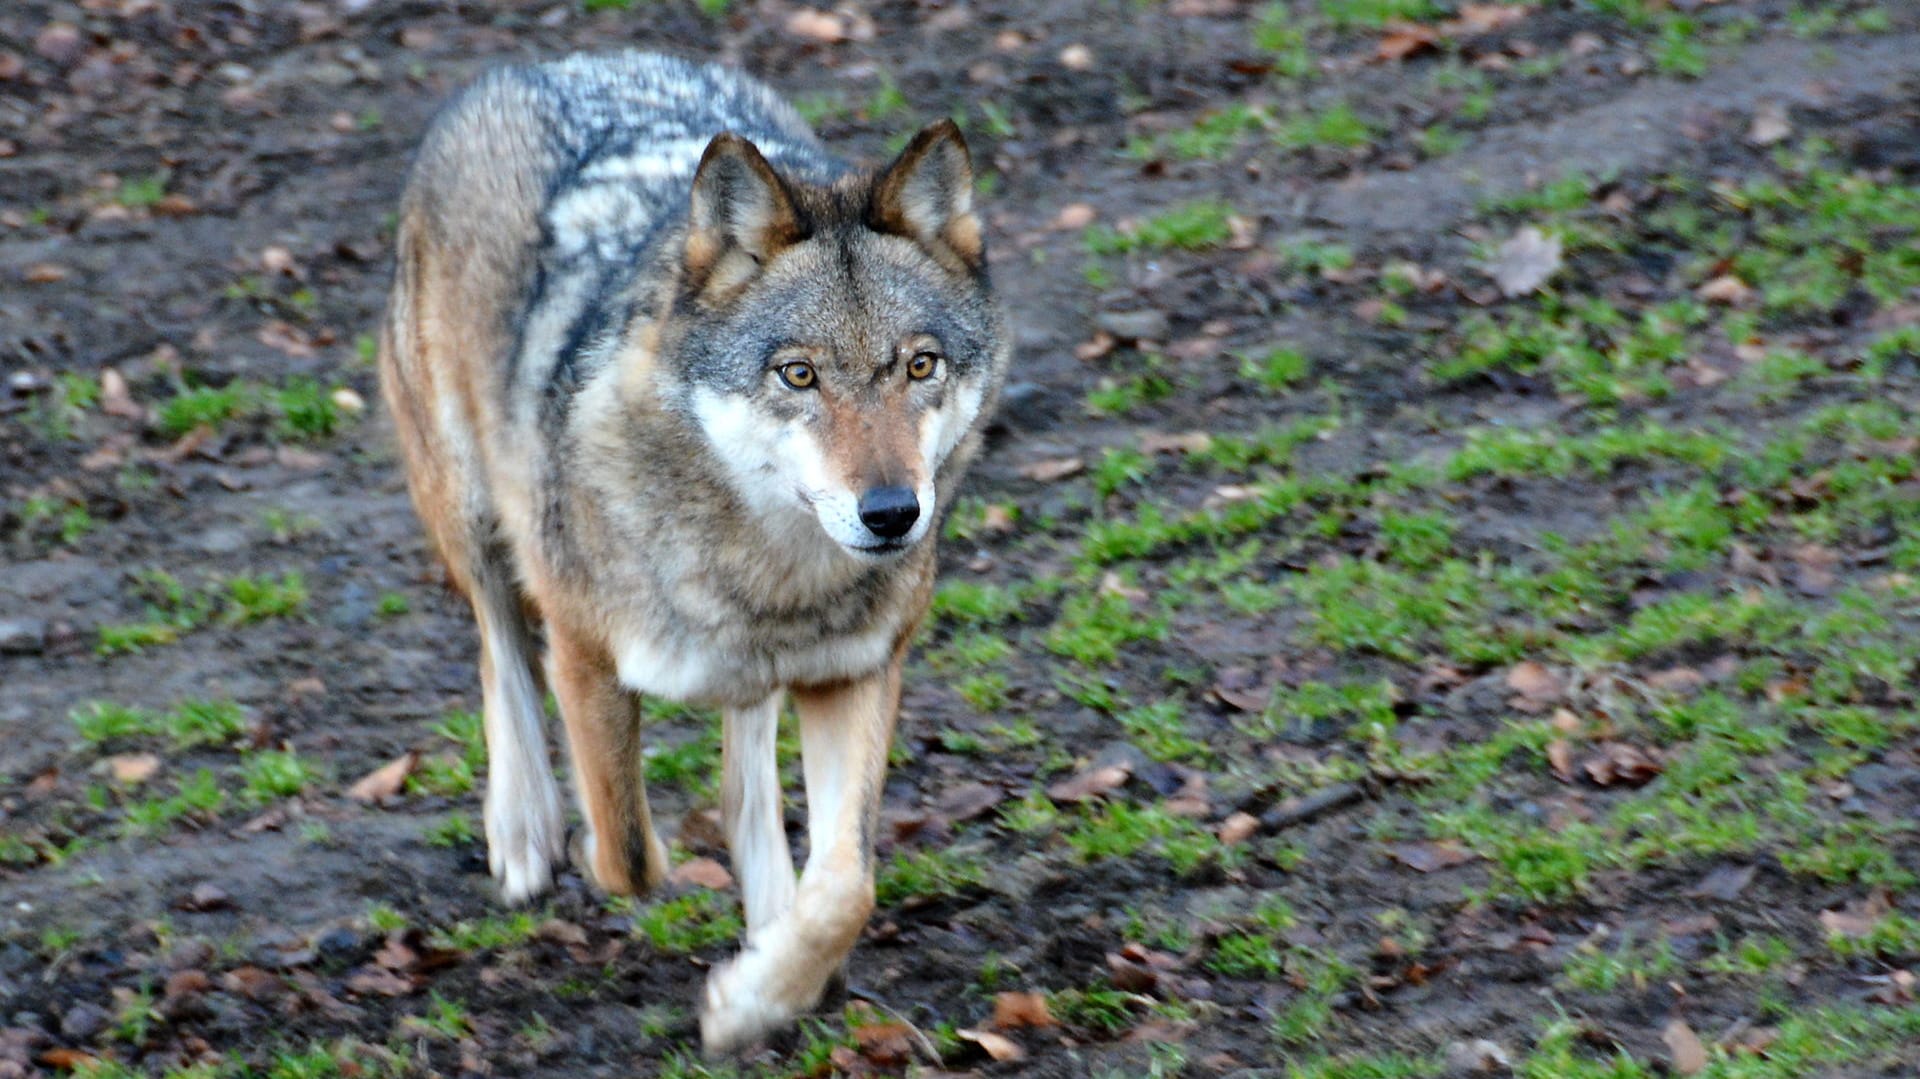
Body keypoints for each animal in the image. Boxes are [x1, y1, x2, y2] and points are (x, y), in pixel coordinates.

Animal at [372, 50, 1006, 1044]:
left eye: (919, 365)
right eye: (798, 374)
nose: (892, 513)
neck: (767, 575)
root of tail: (551, 62)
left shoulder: (854, 674)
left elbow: (847, 885)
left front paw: (760, 991)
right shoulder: (585, 657)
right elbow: (627, 850)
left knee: (747, 779)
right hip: (471, 511)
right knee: (496, 644)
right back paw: (523, 826)